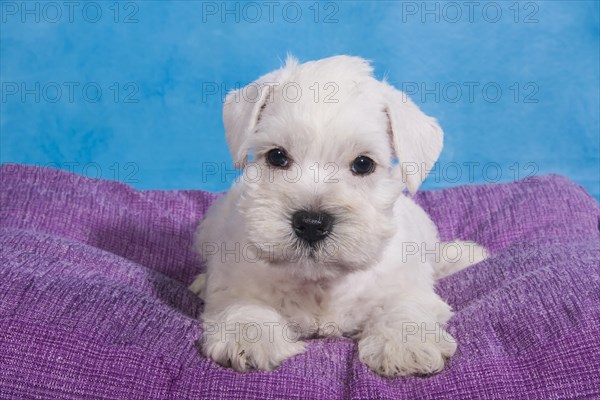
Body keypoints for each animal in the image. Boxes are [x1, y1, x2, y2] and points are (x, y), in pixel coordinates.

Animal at [192, 54, 488, 376]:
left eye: (363, 163)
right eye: (277, 156)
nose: (311, 224)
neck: (322, 282)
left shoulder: (407, 284)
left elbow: (404, 306)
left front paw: (405, 344)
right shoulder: (237, 280)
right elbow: (244, 303)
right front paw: (249, 335)